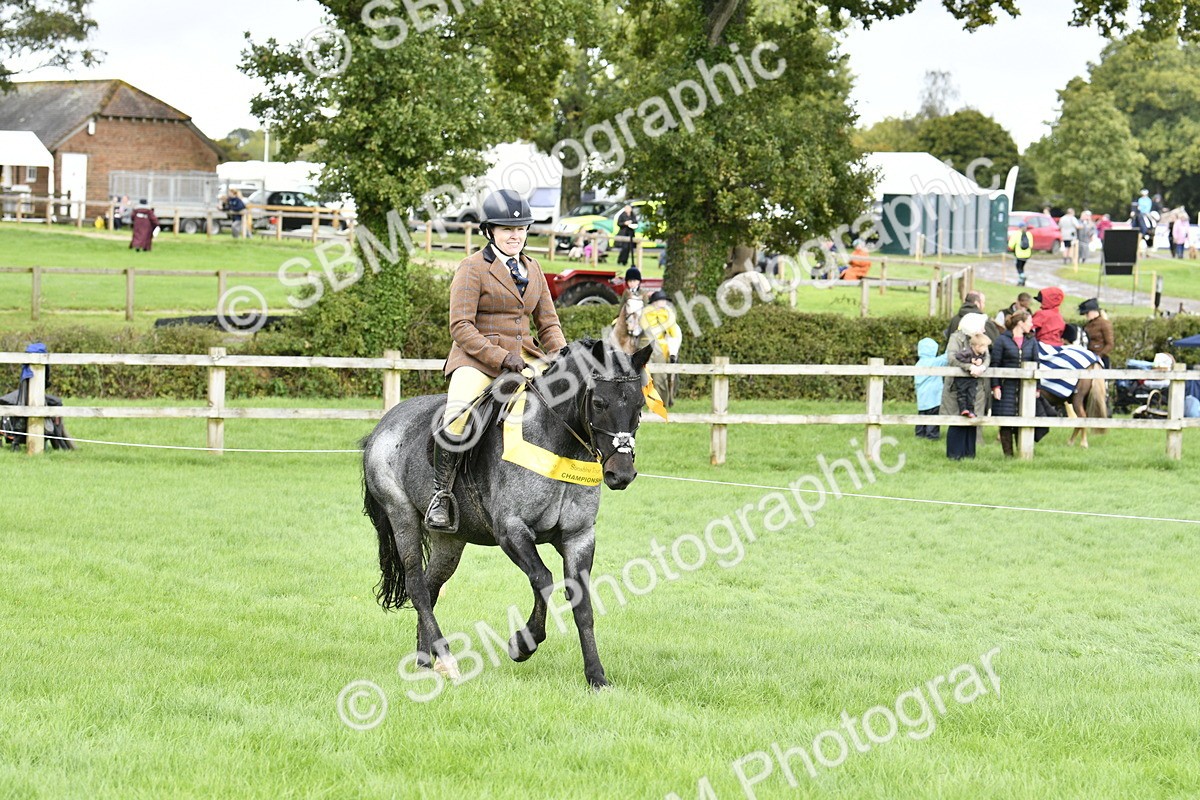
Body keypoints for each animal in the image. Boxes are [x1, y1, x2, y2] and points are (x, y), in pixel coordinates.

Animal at [361, 339, 653, 689]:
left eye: (639, 404)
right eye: (598, 403)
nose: (621, 474)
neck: (558, 445)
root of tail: (382, 426)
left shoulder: (579, 536)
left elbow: (582, 602)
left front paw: (596, 676)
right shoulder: (512, 531)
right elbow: (543, 579)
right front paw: (522, 644)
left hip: (450, 540)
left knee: (431, 588)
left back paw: (425, 662)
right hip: (401, 515)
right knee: (416, 586)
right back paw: (447, 661)